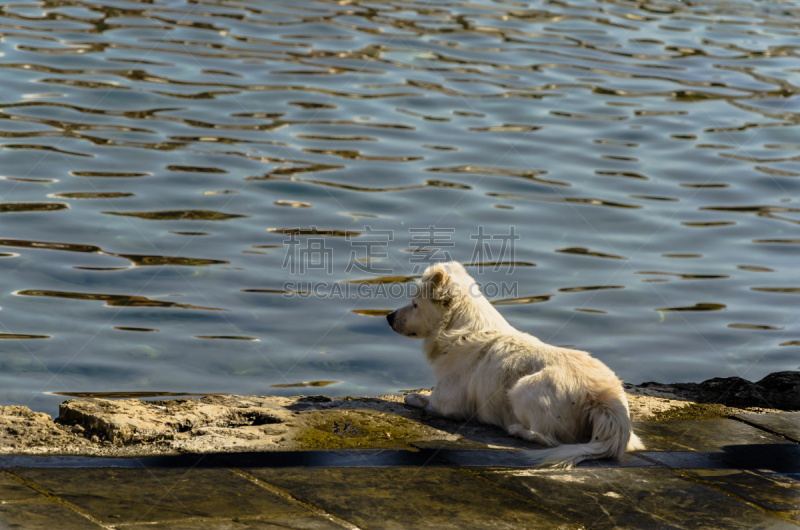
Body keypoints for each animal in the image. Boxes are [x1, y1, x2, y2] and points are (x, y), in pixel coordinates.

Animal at [388, 262, 644, 464]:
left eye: (415, 304)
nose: (389, 317)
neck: (459, 331)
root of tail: (603, 397)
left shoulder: (447, 402)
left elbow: (427, 400)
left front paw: (414, 397)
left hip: (522, 389)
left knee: (550, 439)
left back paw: (518, 431)